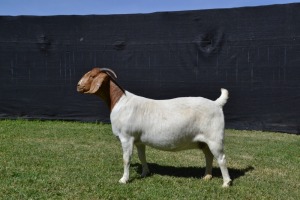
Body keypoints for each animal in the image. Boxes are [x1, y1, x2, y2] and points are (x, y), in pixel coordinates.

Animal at [77, 68, 232, 187]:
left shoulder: (127, 137)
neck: (120, 102)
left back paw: (226, 183)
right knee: (209, 156)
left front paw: (123, 180)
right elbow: (142, 157)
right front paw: (145, 173)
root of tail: (216, 103)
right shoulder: (138, 140)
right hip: (204, 141)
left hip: (215, 137)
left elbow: (126, 159)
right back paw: (207, 176)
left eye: (92, 76)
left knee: (221, 158)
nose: (78, 86)